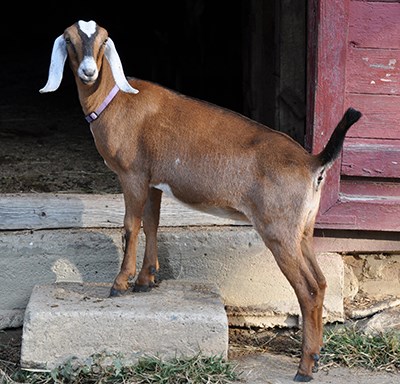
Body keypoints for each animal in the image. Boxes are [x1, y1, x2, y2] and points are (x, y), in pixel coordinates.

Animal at [40, 20, 362, 380]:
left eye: (103, 40)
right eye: (69, 40)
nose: (88, 71)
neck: (116, 100)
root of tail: (313, 163)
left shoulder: (132, 174)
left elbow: (130, 227)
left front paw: (120, 284)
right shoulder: (153, 180)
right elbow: (152, 224)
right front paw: (146, 280)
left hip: (278, 229)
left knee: (307, 289)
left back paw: (304, 367)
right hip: (302, 229)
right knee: (320, 282)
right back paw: (316, 357)